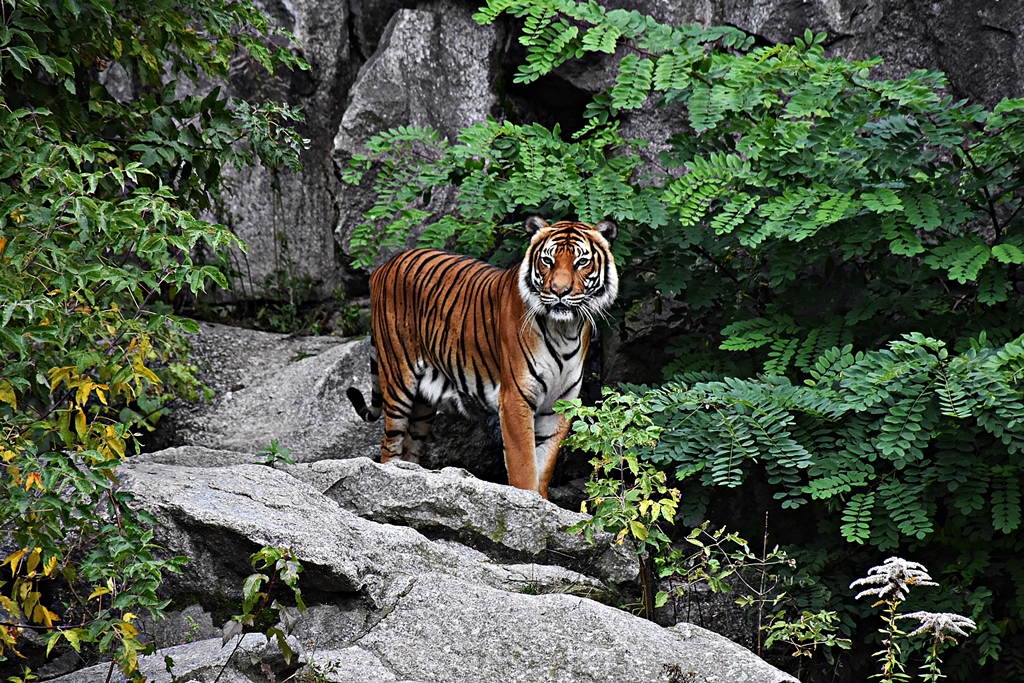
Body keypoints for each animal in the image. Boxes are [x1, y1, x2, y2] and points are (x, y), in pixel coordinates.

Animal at [346, 216, 618, 499]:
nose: (559, 291)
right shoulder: (515, 399)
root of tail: (384, 266)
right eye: (547, 260)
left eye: (581, 262)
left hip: (423, 403)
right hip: (399, 379)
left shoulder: (560, 405)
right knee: (390, 446)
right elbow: (524, 467)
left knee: (411, 448)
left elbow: (544, 468)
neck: (565, 329)